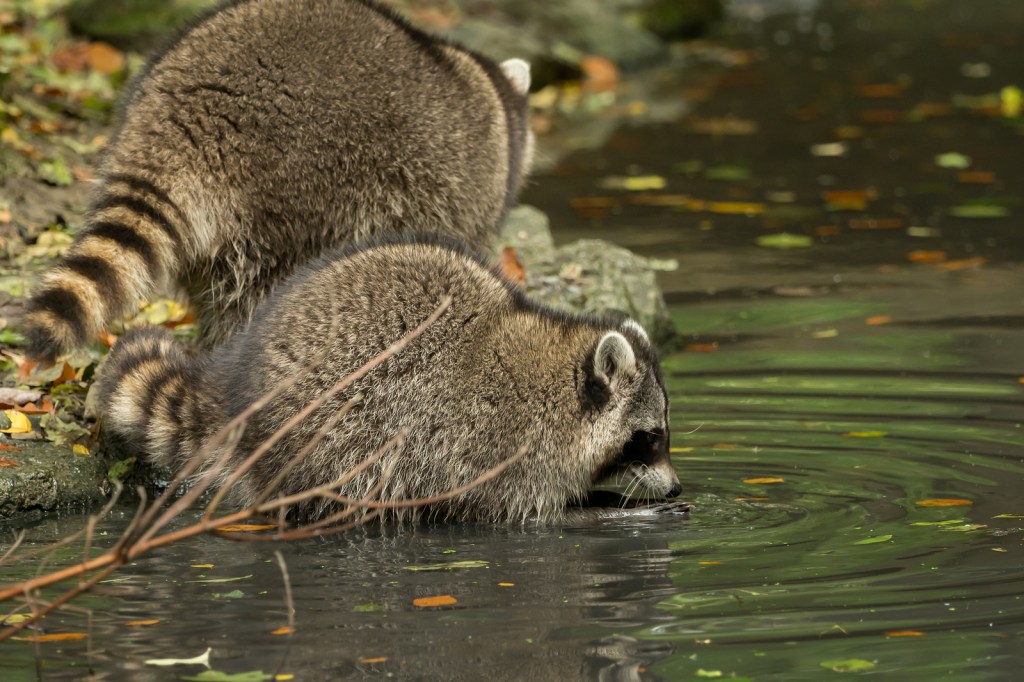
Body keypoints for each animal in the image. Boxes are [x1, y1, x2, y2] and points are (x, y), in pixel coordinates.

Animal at [97, 237, 688, 520]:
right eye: (650, 437)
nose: (678, 485)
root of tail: (235, 389)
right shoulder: (499, 446)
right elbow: (519, 511)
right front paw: (604, 511)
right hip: (324, 433)